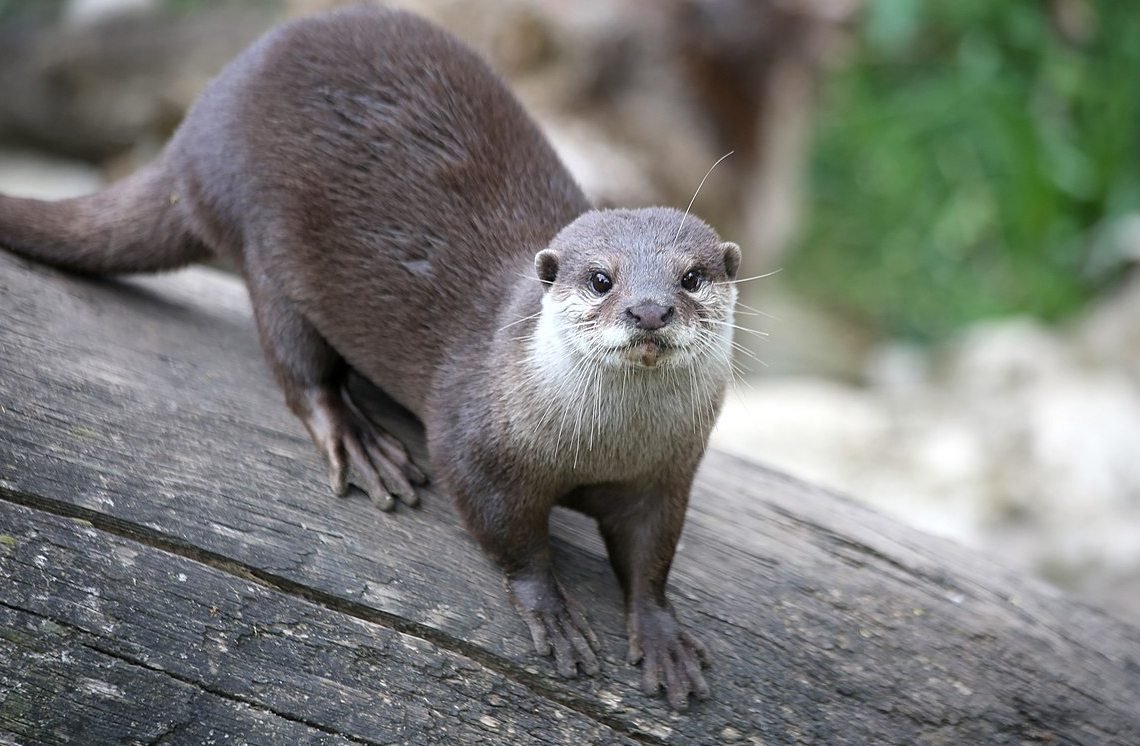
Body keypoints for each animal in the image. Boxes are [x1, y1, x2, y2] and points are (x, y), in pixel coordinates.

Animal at [0, 5, 738, 711]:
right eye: (602, 279)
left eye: (692, 277)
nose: (650, 309)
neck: (599, 446)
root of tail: (194, 132)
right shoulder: (473, 440)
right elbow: (509, 535)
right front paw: (552, 612)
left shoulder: (666, 473)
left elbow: (652, 554)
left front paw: (663, 635)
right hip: (267, 246)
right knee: (297, 367)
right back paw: (359, 441)